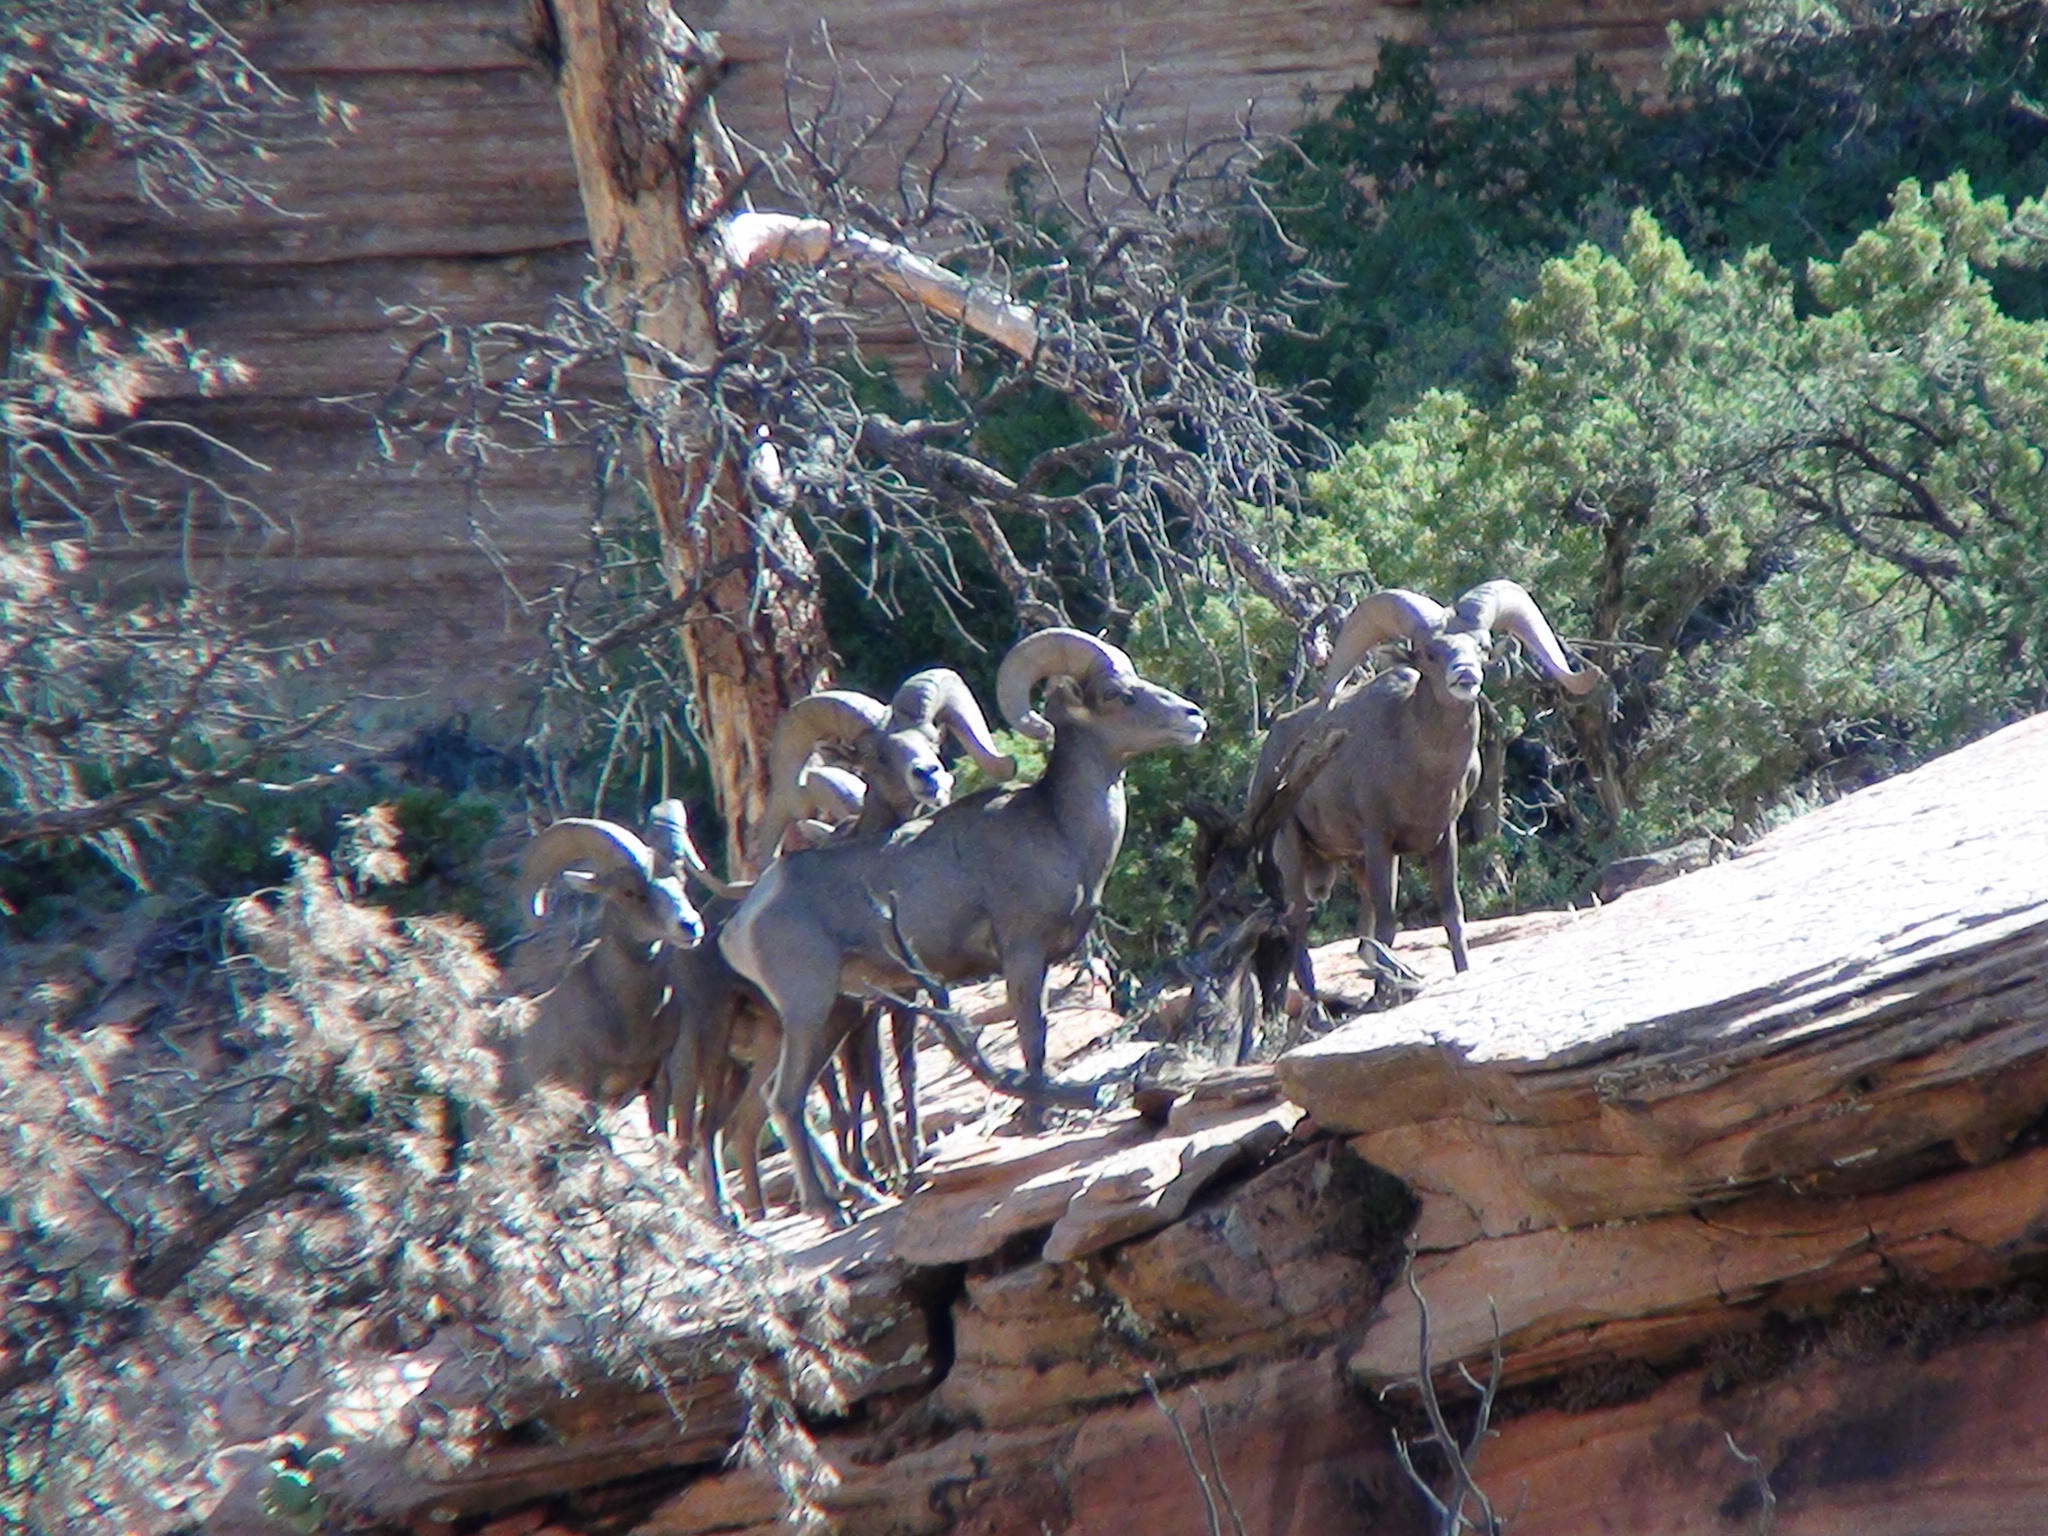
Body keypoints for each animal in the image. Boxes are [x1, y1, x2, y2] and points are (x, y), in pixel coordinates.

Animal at [720, 630, 1204, 1220]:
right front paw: (1041, 1124)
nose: (1193, 717)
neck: (1060, 830)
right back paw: (831, 1208)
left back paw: (857, 1194)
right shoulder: (1022, 956)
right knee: (786, 1100)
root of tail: (745, 918)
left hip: (839, 1013)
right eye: (1117, 694)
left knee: (785, 1101)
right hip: (809, 1009)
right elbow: (1033, 1042)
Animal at [1245, 581, 1597, 1015]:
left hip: (1352, 864)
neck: (1421, 769)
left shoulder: (1442, 837)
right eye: (1430, 652)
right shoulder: (1380, 842)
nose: (1465, 676)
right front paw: (1384, 996)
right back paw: (1316, 1014)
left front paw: (1457, 974)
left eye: (1482, 646)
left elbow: (1451, 914)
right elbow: (1388, 925)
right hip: (1294, 854)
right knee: (1298, 932)